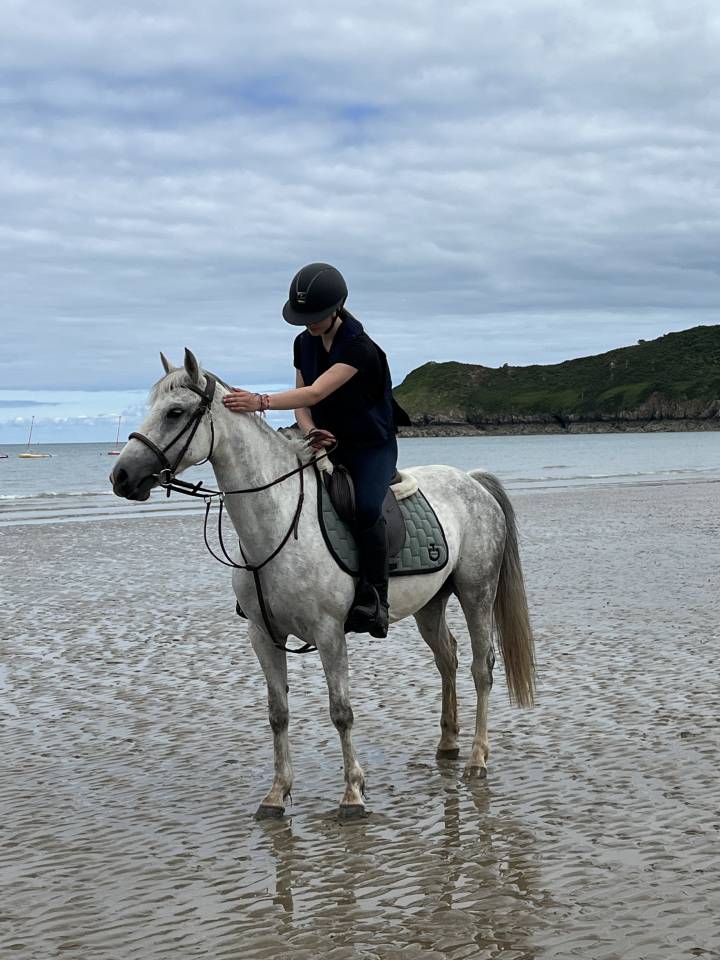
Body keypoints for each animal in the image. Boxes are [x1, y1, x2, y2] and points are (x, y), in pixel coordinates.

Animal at [110, 349, 535, 819]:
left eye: (175, 412)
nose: (121, 476)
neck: (278, 521)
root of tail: (472, 481)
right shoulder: (263, 635)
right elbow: (277, 713)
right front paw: (276, 794)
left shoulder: (329, 633)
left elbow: (341, 712)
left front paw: (352, 793)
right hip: (430, 604)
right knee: (448, 659)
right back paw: (447, 744)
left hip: (476, 592)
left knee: (482, 667)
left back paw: (478, 758)